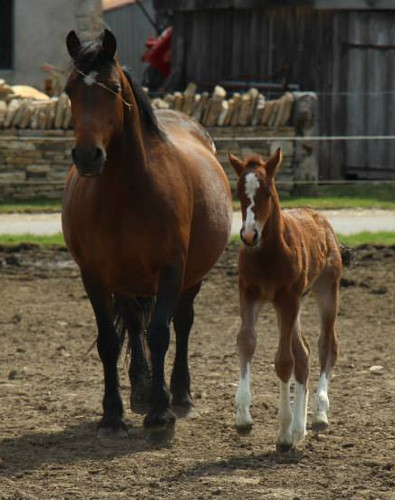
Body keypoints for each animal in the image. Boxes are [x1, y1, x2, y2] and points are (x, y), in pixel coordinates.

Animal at [62, 31, 234, 436]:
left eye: (112, 87)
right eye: (69, 90)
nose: (88, 156)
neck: (128, 191)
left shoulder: (172, 270)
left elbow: (160, 334)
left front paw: (161, 411)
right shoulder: (94, 275)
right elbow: (109, 340)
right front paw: (113, 414)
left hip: (192, 276)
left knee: (182, 324)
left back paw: (180, 394)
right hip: (125, 278)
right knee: (133, 321)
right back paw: (140, 389)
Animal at [229, 149, 350, 454]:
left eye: (268, 192)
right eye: (238, 192)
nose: (249, 235)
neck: (268, 252)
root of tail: (321, 219)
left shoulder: (287, 297)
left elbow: (284, 361)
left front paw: (283, 433)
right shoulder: (249, 293)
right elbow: (246, 342)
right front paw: (244, 417)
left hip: (324, 290)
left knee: (326, 344)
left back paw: (319, 414)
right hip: (290, 306)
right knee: (303, 353)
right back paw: (300, 429)